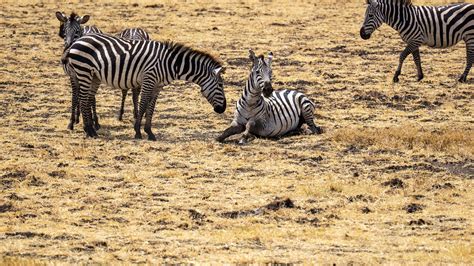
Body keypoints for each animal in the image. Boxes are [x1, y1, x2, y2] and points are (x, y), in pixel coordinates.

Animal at [62, 33, 227, 139]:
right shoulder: (149, 79)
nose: (223, 109)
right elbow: (143, 105)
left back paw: (91, 130)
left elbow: (151, 108)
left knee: (86, 98)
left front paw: (149, 132)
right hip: (84, 71)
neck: (170, 64)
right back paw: (88, 130)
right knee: (83, 99)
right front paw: (137, 131)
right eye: (220, 84)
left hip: (93, 76)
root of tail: (76, 42)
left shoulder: (157, 86)